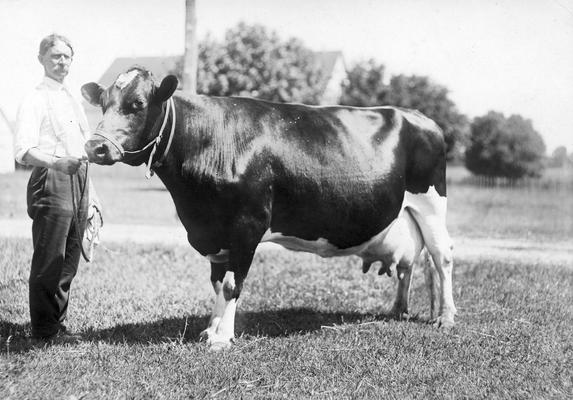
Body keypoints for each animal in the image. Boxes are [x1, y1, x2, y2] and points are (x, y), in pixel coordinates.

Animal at [81, 66, 456, 350]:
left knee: (442, 257)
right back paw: (399, 309)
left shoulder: (248, 224)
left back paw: (446, 316)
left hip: (431, 204)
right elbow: (217, 282)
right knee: (410, 264)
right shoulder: (214, 232)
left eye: (137, 103)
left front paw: (222, 338)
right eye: (103, 103)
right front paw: (211, 329)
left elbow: (232, 284)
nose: (94, 146)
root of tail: (420, 117)